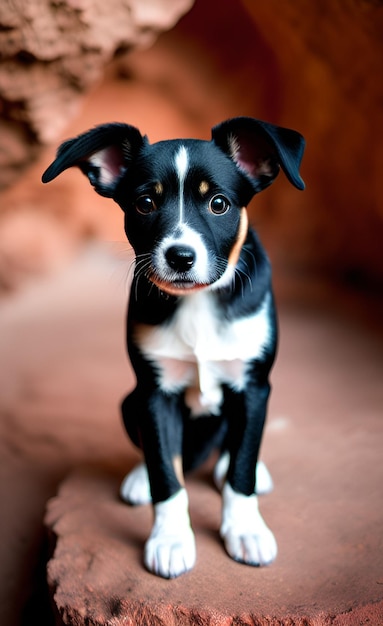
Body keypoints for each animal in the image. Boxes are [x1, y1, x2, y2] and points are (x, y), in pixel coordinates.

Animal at [42, 116, 306, 576]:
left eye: (218, 204)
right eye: (145, 203)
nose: (180, 256)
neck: (198, 300)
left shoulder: (255, 385)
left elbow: (241, 467)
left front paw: (246, 530)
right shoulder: (153, 392)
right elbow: (167, 473)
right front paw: (170, 539)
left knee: (234, 446)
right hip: (129, 401)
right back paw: (138, 477)